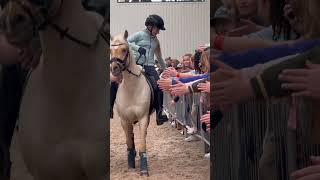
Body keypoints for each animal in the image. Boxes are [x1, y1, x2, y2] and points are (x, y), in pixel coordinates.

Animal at [110, 30, 153, 176]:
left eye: (124, 49)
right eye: (111, 50)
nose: (114, 68)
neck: (132, 89)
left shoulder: (143, 118)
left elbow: (142, 141)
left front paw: (144, 169)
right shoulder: (124, 120)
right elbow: (129, 141)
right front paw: (130, 165)